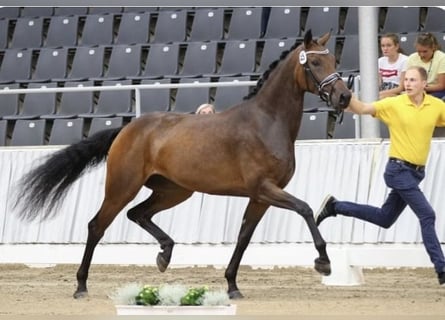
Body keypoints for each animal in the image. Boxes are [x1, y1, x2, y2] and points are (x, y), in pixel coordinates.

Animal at [13, 30, 350, 300]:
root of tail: (128, 128)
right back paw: (81, 286)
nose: (344, 97)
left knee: (138, 214)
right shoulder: (265, 188)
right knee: (97, 225)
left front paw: (232, 286)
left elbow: (244, 237)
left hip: (174, 191)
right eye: (314, 63)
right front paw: (324, 263)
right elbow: (306, 209)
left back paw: (165, 254)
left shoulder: (261, 196)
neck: (266, 122)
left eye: (334, 60)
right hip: (123, 187)